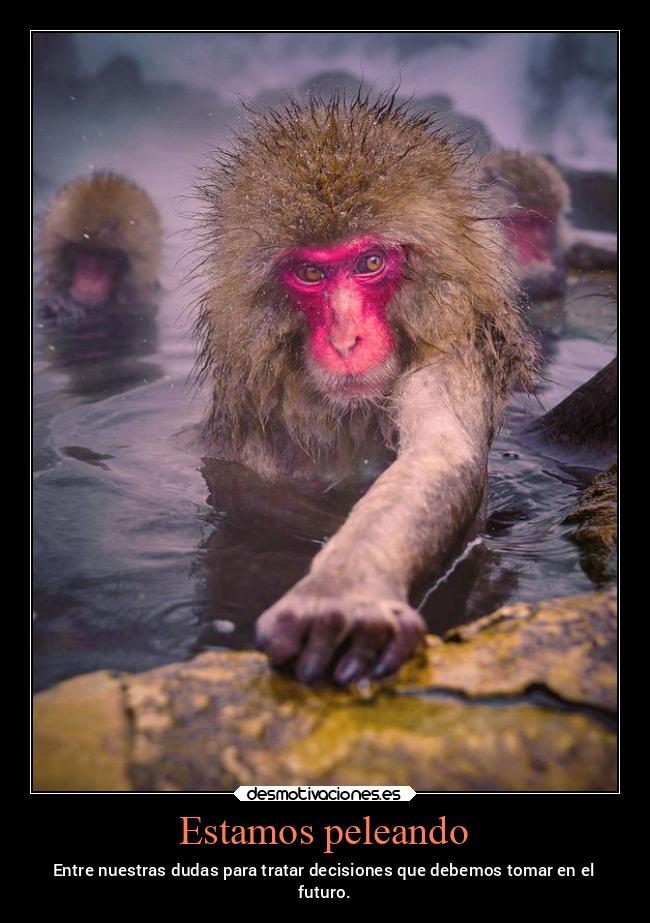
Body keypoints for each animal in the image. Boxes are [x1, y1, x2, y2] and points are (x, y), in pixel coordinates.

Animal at [192, 94, 538, 685]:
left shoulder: (448, 356)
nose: (346, 338)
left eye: (370, 263)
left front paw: (344, 593)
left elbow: (441, 454)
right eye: (311, 273)